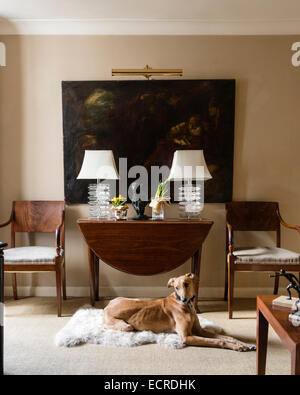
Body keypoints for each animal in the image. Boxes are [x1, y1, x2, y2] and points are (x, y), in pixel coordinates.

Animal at [103, 272, 255, 352]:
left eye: (186, 284)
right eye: (176, 287)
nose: (183, 299)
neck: (188, 307)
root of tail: (107, 305)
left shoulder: (199, 330)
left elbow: (227, 337)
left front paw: (244, 344)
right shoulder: (187, 337)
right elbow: (219, 341)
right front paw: (236, 347)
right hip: (126, 325)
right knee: (128, 327)